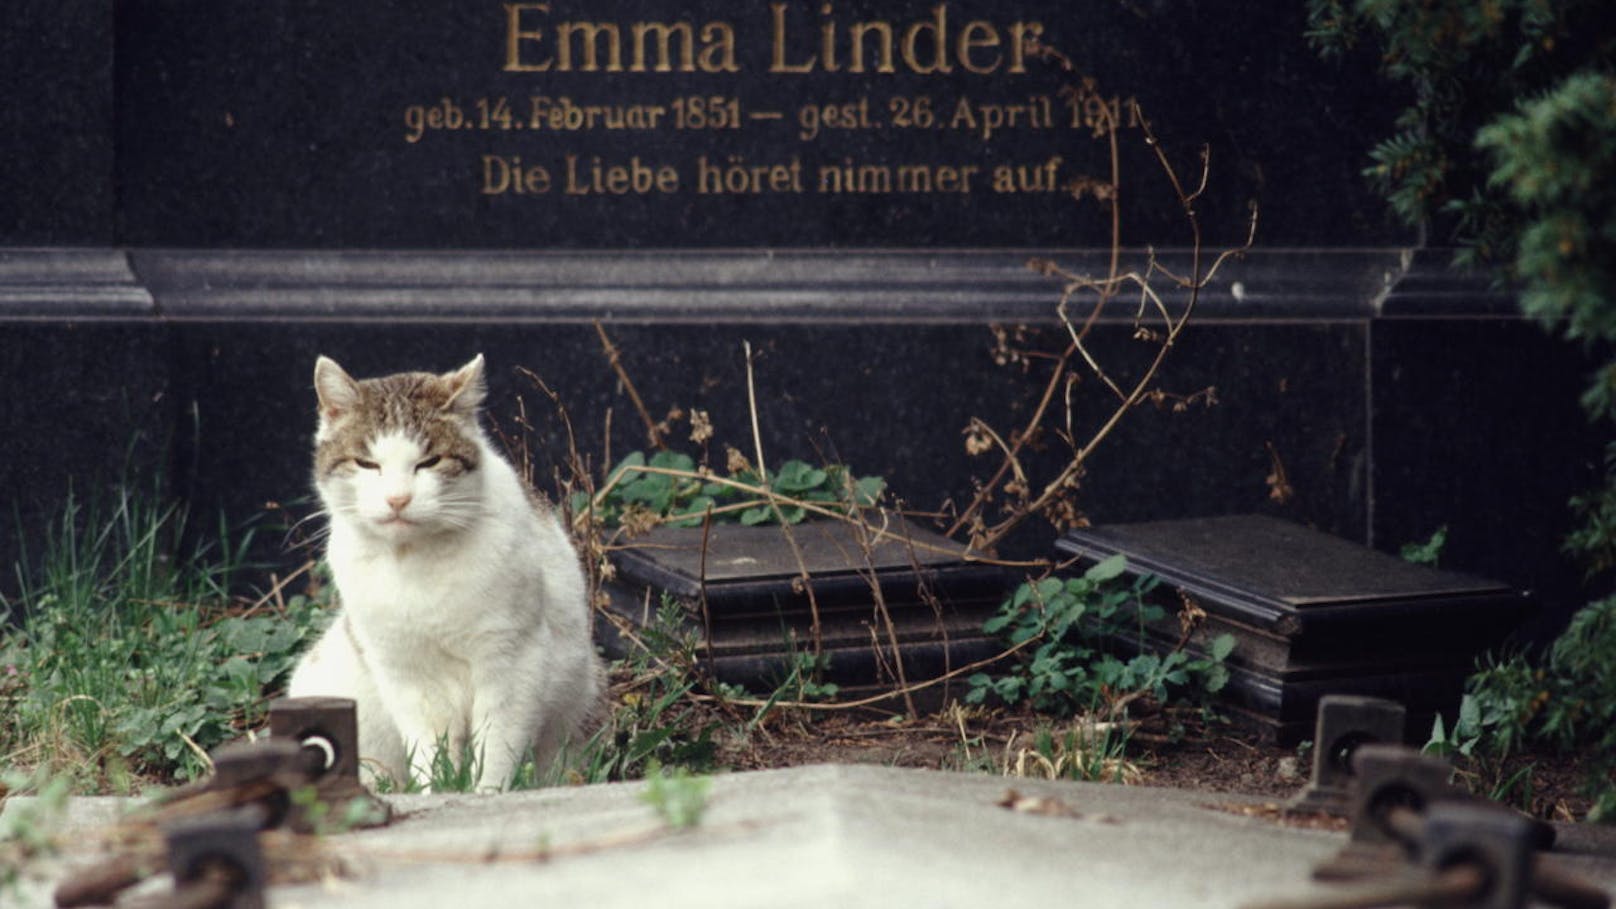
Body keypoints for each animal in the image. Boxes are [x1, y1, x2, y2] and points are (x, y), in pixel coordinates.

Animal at [287, 350, 604, 789]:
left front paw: (487, 793)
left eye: (430, 461)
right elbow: (430, 751)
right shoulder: (406, 673)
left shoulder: (512, 659)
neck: (415, 561)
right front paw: (434, 791)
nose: (398, 499)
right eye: (367, 463)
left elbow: (498, 747)